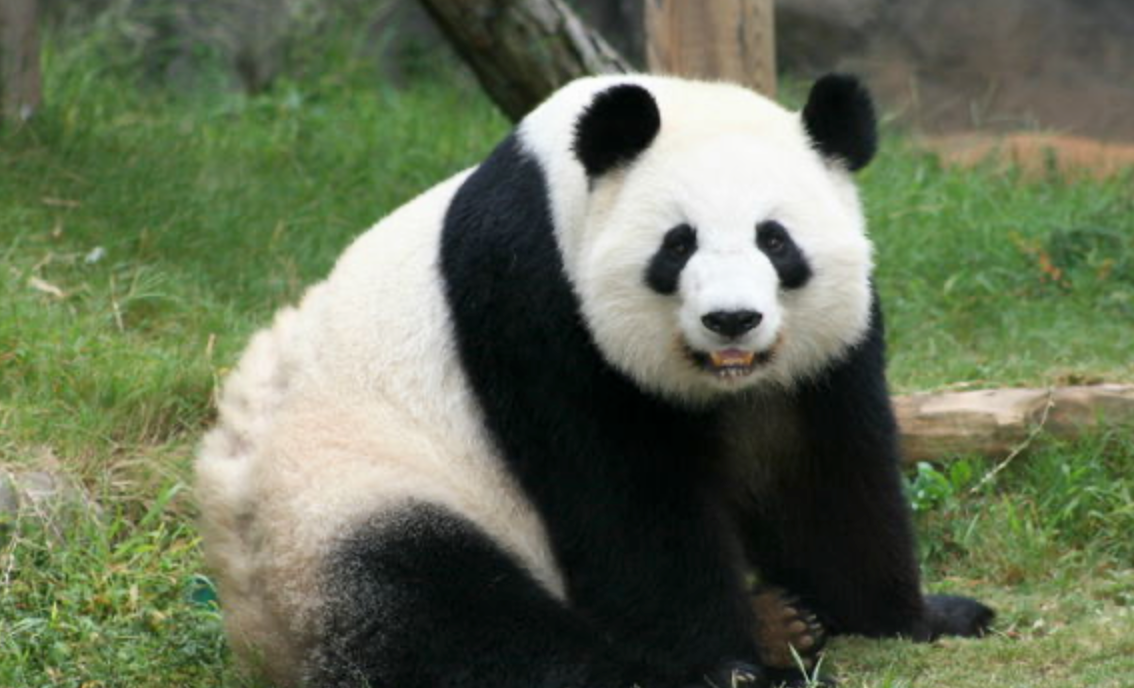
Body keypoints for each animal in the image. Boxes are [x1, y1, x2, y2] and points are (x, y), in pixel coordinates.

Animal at [195, 73, 994, 688]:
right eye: (678, 245)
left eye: (776, 240)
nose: (731, 320)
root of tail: (259, 638)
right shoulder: (537, 300)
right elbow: (625, 499)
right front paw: (729, 665)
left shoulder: (821, 357)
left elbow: (820, 476)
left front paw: (921, 617)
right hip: (341, 502)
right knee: (445, 612)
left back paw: (784, 623)